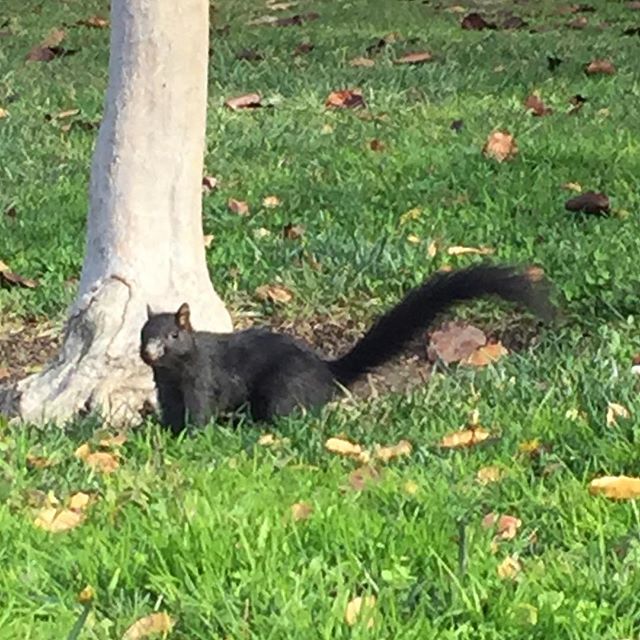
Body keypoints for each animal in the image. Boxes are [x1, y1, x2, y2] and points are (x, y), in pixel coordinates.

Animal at [141, 262, 556, 432]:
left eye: (174, 336)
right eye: (143, 334)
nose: (150, 353)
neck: (174, 371)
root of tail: (327, 372)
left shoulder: (203, 380)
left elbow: (200, 411)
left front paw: (193, 436)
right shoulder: (166, 389)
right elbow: (171, 412)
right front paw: (166, 431)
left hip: (282, 391)